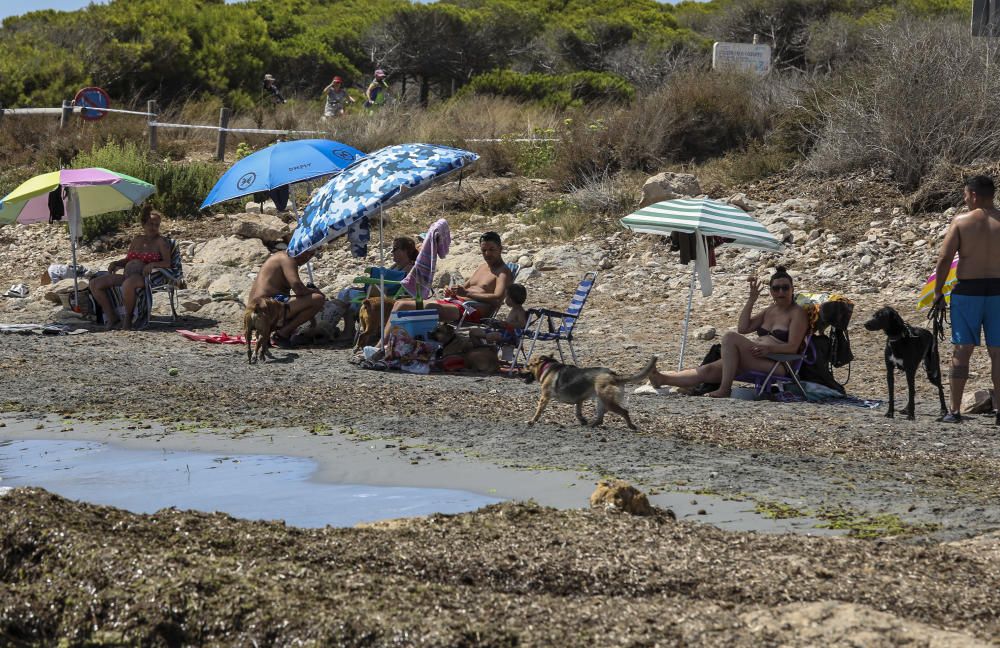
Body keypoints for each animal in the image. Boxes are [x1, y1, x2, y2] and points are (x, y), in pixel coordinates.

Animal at [524, 354, 656, 430]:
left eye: (527, 365)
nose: (520, 367)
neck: (547, 367)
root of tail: (614, 375)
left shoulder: (544, 398)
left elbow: (538, 412)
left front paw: (532, 421)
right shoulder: (579, 400)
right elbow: (578, 412)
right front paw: (582, 421)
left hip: (607, 402)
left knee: (624, 412)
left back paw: (631, 426)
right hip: (601, 401)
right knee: (600, 419)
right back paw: (591, 425)